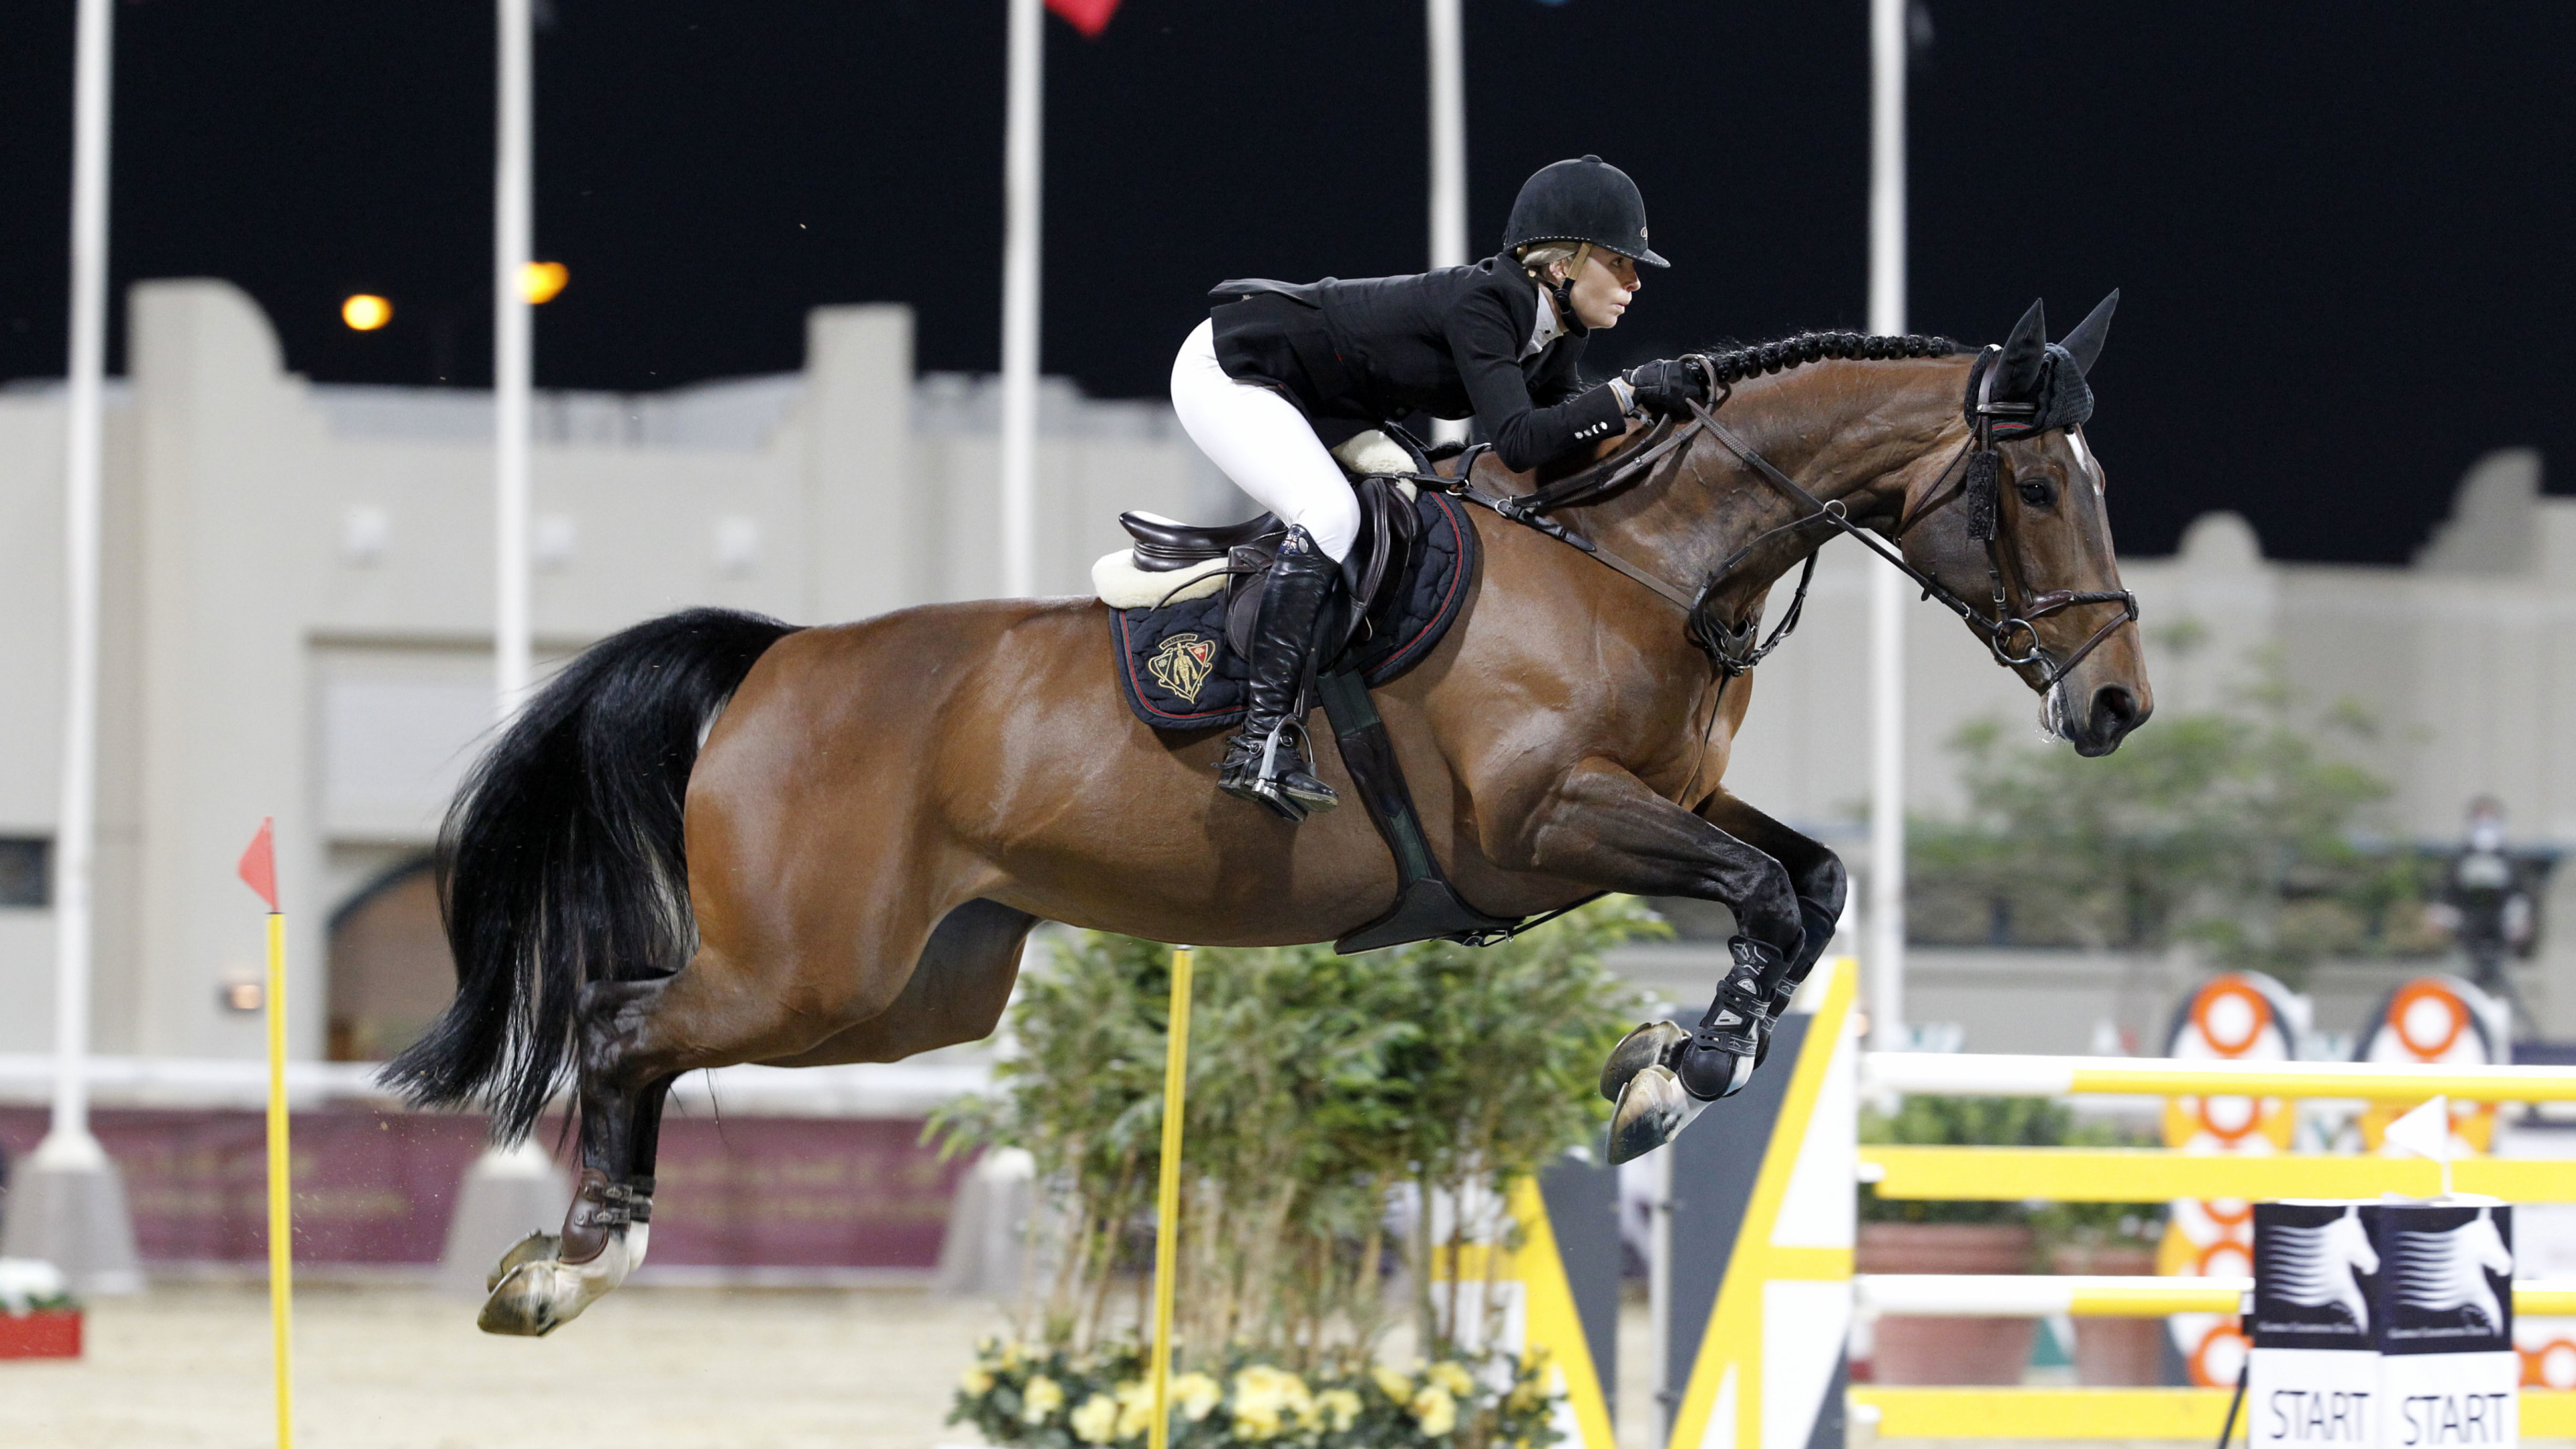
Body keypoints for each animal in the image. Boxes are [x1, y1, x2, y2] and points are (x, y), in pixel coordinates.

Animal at [387, 295, 2152, 1335]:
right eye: (2037, 486)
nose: (2117, 707)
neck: (1641, 555)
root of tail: (776, 658)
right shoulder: (1545, 821)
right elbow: (1766, 895)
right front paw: (1675, 1078)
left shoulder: (1667, 800)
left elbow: (1810, 881)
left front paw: (1666, 1059)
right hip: (812, 966)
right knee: (620, 1022)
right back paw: (572, 1258)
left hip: (910, 994)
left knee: (655, 1027)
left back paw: (578, 1253)